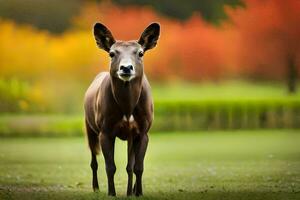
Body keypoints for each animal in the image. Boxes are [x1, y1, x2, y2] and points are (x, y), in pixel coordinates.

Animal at [83, 22, 161, 197]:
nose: (126, 68)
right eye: (112, 53)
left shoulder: (143, 131)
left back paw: (130, 191)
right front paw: (111, 193)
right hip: (89, 126)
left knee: (130, 166)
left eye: (140, 53)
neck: (127, 107)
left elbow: (137, 167)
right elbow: (110, 167)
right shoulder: (105, 130)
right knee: (93, 160)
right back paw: (96, 188)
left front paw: (138, 193)